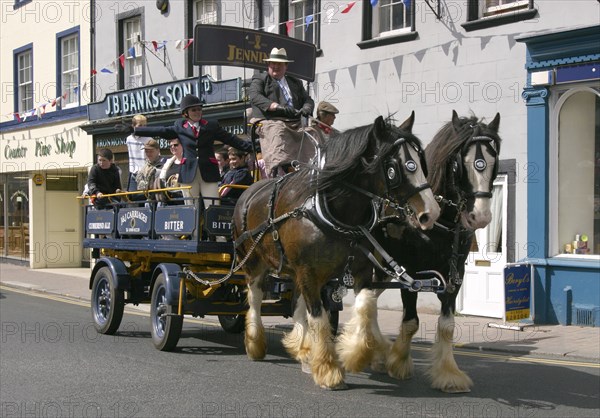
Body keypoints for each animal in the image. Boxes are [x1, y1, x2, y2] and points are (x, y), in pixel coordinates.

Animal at [231, 113, 440, 388]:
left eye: (419, 162)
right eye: (396, 167)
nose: (431, 212)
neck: (336, 213)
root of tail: (248, 192)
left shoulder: (360, 271)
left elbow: (364, 308)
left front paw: (356, 354)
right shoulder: (309, 273)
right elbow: (319, 318)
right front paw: (328, 370)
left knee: (296, 304)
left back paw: (303, 351)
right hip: (254, 261)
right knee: (254, 296)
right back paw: (255, 343)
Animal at [340, 110, 500, 392]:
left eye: (493, 162)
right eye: (460, 163)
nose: (479, 217)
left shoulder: (453, 276)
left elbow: (447, 325)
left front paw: (449, 374)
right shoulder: (413, 274)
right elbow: (411, 321)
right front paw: (399, 362)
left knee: (370, 299)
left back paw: (376, 351)